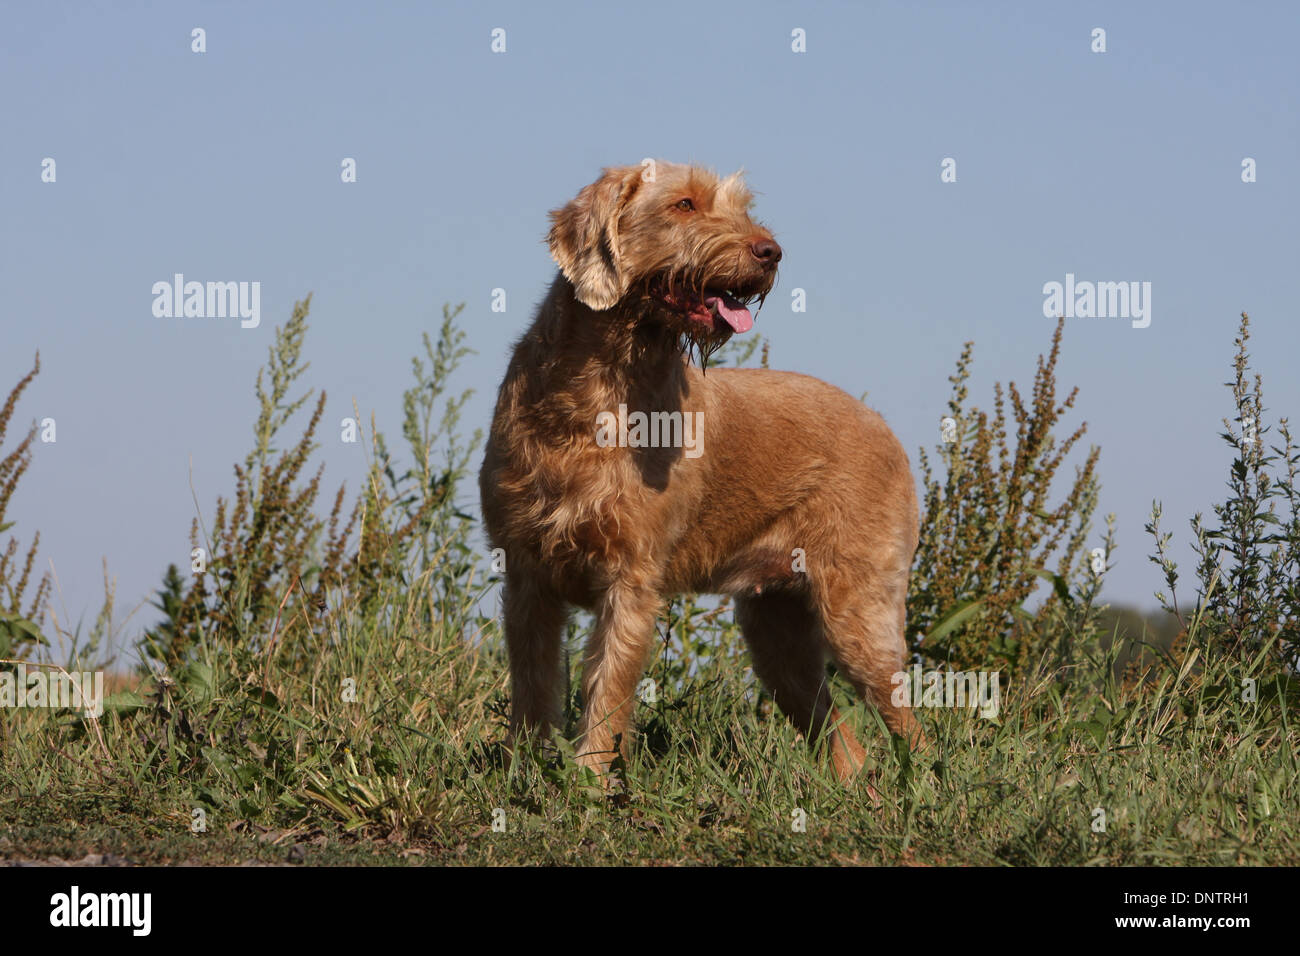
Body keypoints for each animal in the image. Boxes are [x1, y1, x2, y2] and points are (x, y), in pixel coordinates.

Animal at [480, 162, 925, 785]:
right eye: (684, 204)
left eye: (741, 206)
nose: (770, 251)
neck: (599, 388)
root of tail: (885, 427)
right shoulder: (526, 575)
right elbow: (533, 685)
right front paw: (520, 773)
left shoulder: (632, 579)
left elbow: (607, 689)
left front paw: (590, 782)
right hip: (776, 633)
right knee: (843, 737)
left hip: (858, 613)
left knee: (909, 724)